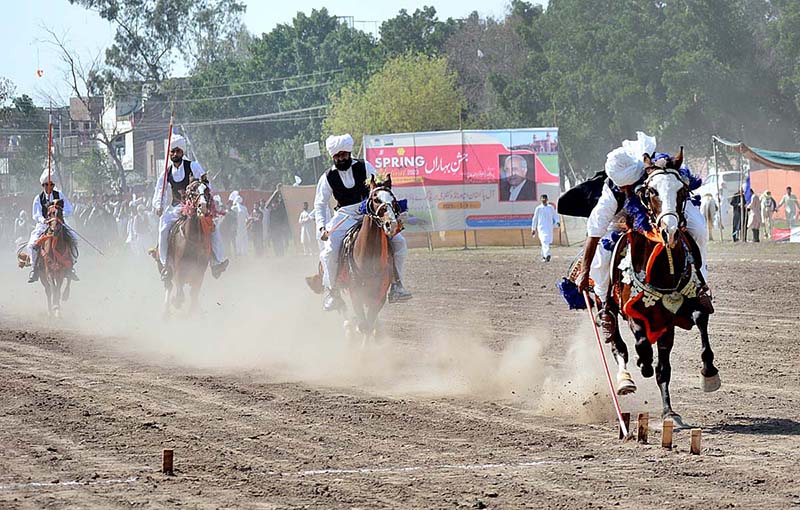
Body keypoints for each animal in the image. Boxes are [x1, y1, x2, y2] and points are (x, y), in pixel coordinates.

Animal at [150, 179, 212, 314]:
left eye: (206, 190)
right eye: (192, 191)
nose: (203, 206)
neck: (192, 238)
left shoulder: (199, 272)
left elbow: (194, 295)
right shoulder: (178, 269)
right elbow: (180, 294)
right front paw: (176, 302)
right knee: (168, 285)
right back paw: (166, 311)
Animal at [608, 148, 720, 430]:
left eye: (682, 190)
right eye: (651, 191)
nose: (669, 230)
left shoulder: (688, 305)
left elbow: (701, 322)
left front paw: (709, 373)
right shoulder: (633, 311)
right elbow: (640, 342)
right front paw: (643, 362)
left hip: (666, 327)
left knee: (663, 369)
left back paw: (669, 411)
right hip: (610, 309)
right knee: (618, 344)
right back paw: (627, 379)